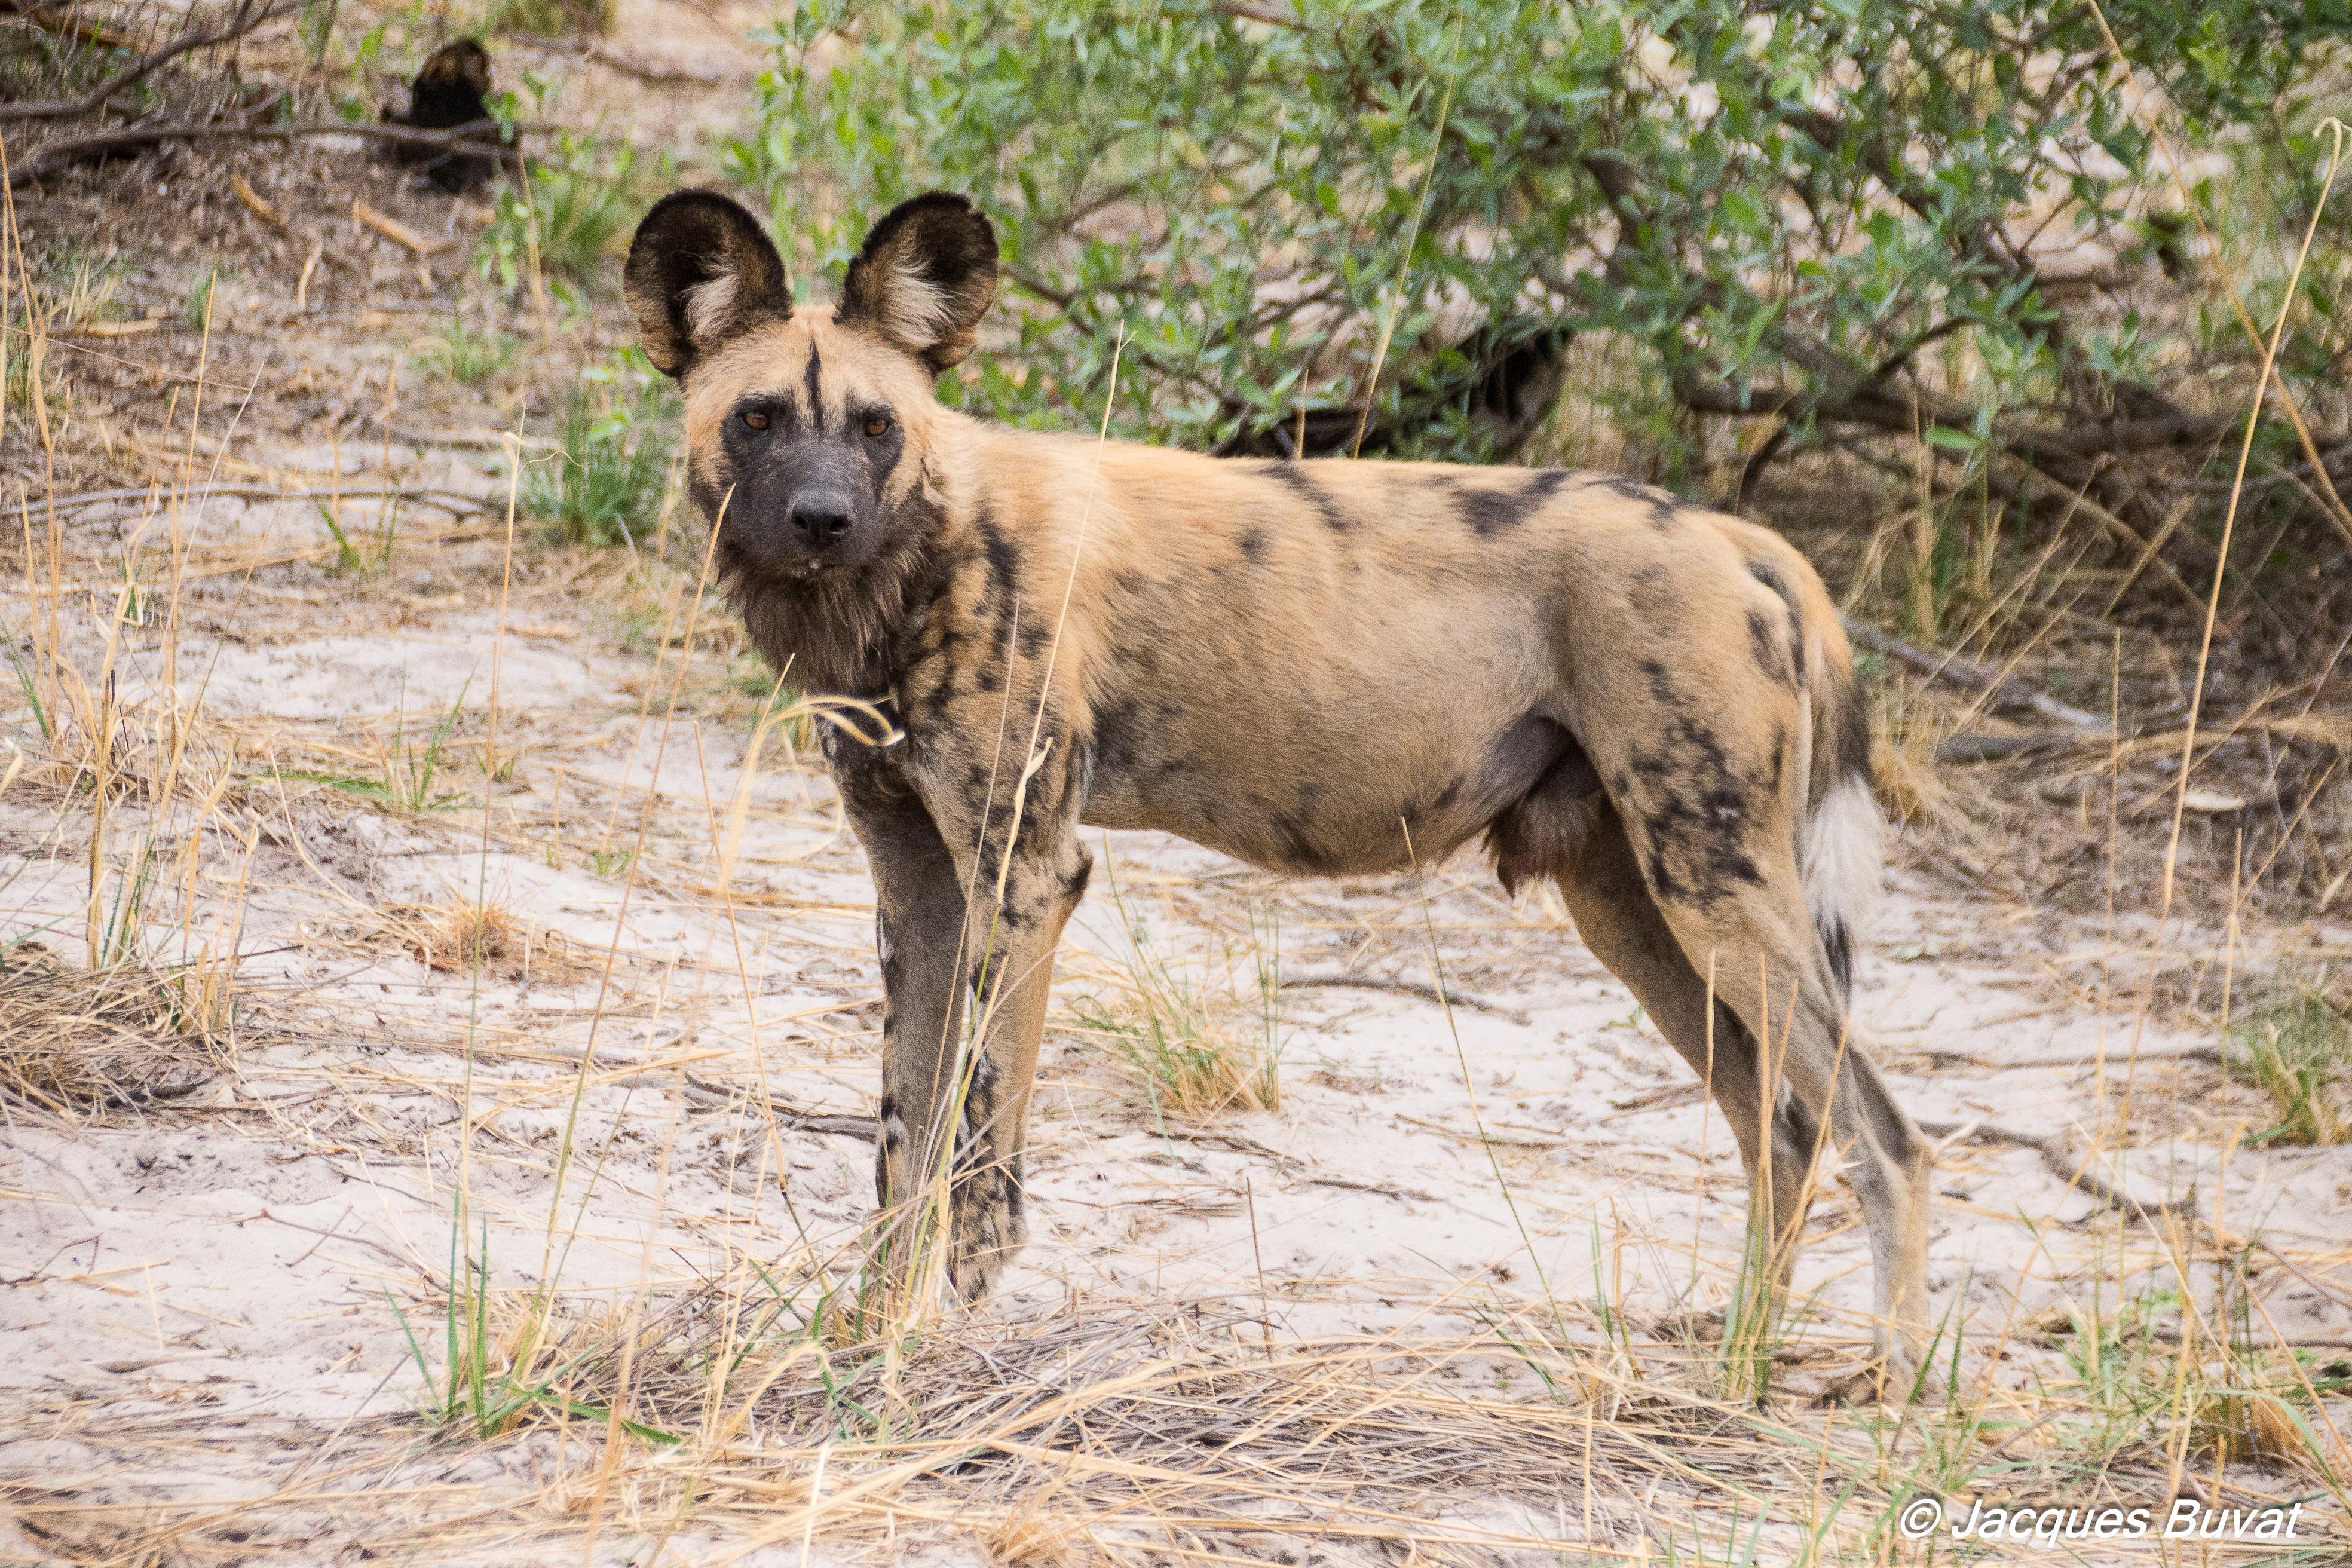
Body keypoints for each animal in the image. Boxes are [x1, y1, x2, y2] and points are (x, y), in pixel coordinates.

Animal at [625, 186, 1928, 1382]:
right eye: (757, 418)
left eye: (875, 425)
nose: (823, 518)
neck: (917, 556)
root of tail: (1733, 536)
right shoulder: (920, 890)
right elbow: (904, 1134)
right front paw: (873, 1335)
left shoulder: (1024, 874)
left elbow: (982, 1137)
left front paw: (958, 1334)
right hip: (1638, 905)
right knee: (1784, 1129)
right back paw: (1738, 1368)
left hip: (1719, 894)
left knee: (1887, 1137)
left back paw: (1888, 1390)